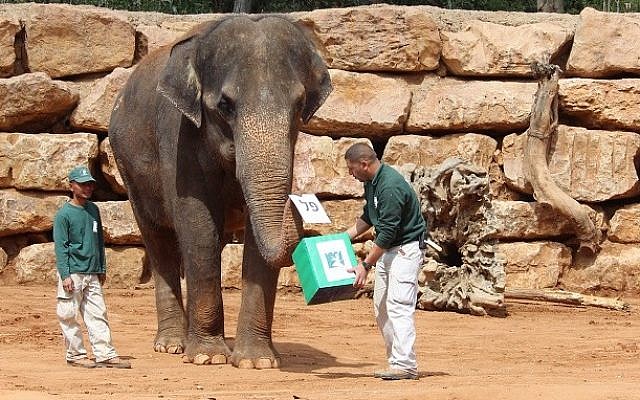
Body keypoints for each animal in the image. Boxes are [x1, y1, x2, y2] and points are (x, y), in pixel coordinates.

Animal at [108, 15, 332, 368]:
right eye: (225, 105)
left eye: (299, 105)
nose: (301, 201)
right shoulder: (178, 134)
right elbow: (198, 225)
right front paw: (207, 358)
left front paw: (257, 362)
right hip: (128, 170)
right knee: (159, 242)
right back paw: (172, 345)